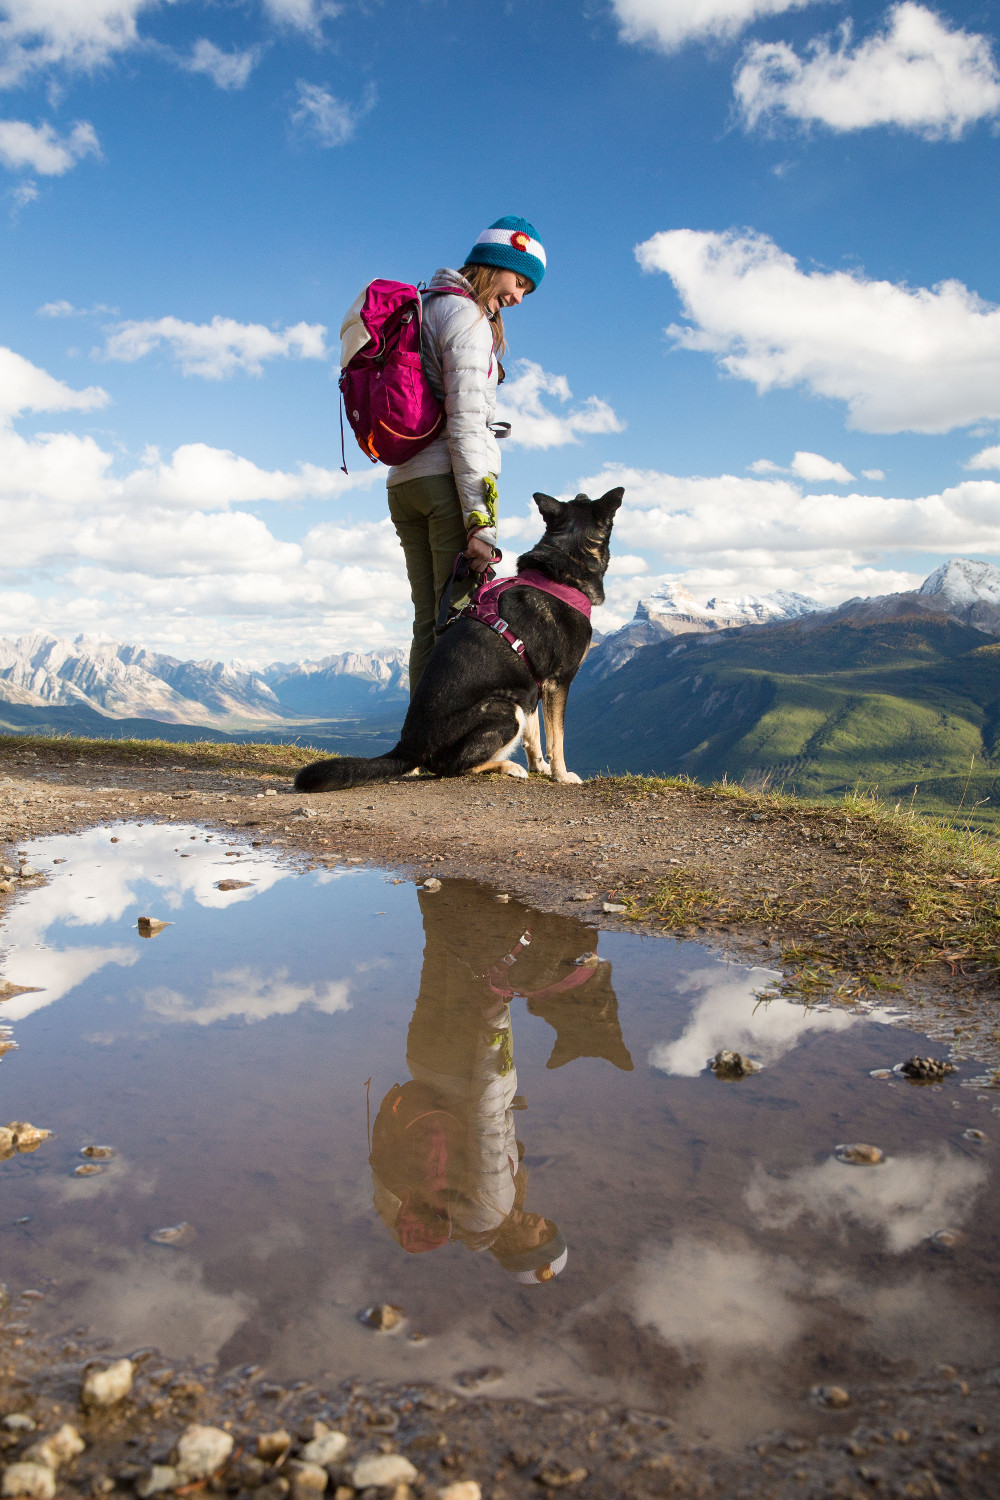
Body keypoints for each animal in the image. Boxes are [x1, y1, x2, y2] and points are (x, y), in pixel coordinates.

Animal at [290, 489, 626, 798]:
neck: (563, 565)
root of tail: (409, 747)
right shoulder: (558, 682)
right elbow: (557, 737)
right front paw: (561, 775)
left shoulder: (534, 686)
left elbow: (535, 737)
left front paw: (540, 767)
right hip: (504, 709)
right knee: (453, 767)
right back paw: (505, 765)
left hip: (514, 702)